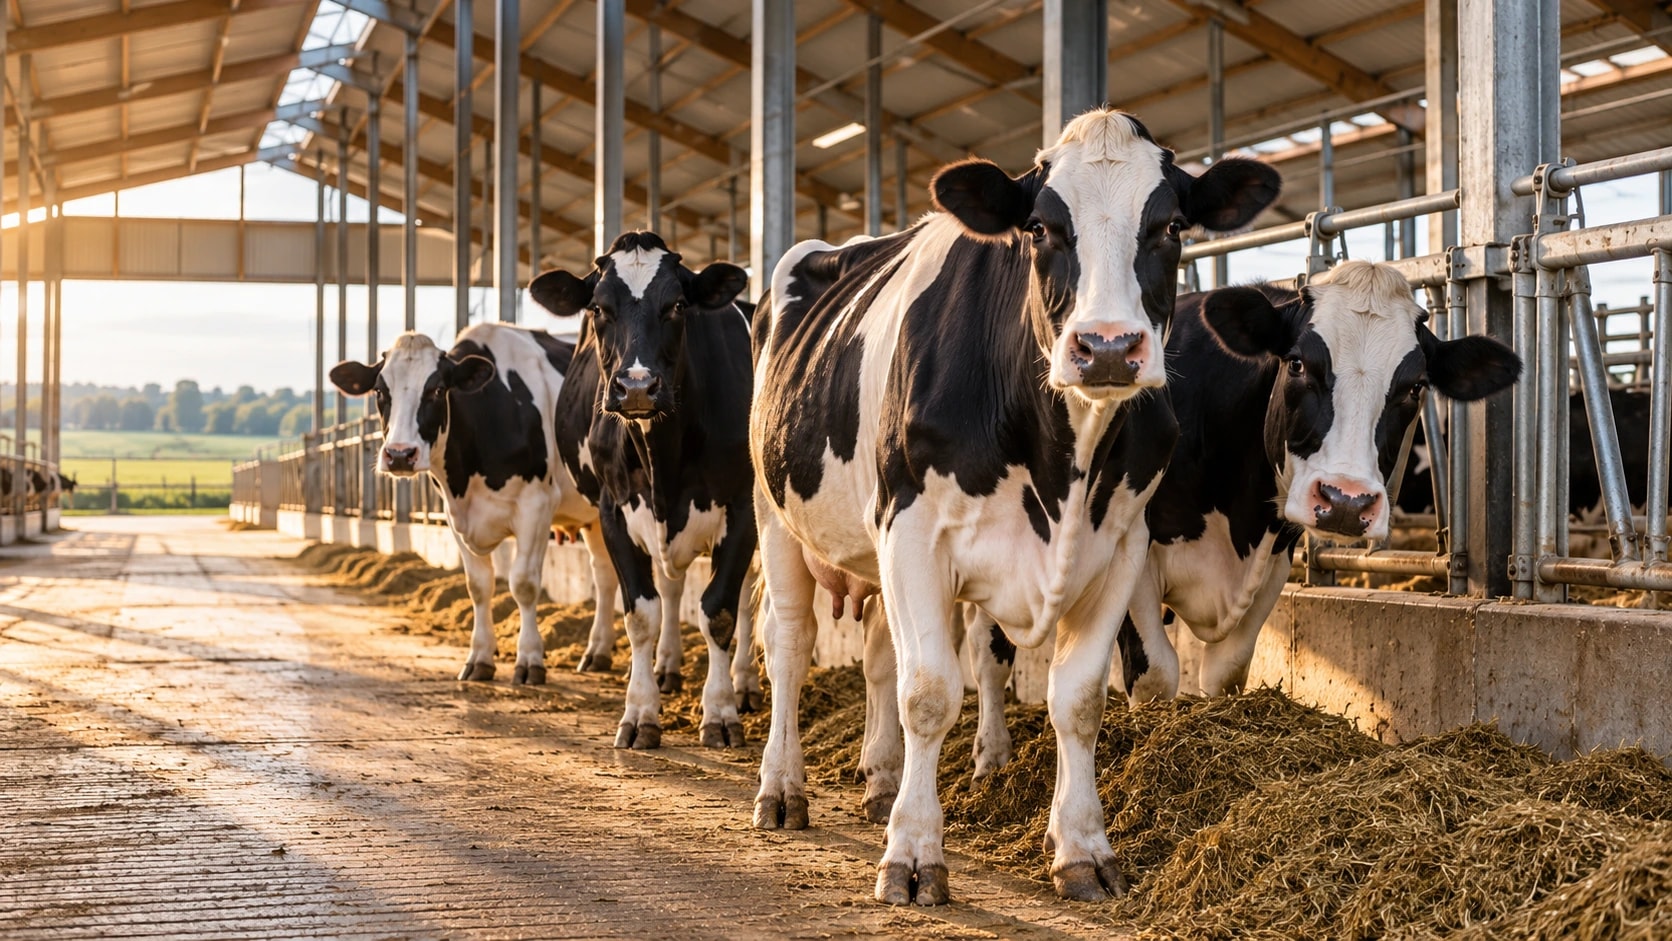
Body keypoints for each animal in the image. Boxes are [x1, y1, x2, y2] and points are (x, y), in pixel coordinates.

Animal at [329, 323, 620, 687]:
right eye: (380, 391)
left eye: (438, 389)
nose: (399, 455)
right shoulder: (455, 514)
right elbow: (478, 585)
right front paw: (479, 658)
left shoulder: (536, 505)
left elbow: (523, 583)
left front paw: (530, 660)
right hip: (594, 515)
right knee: (604, 574)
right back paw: (597, 653)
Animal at [528, 231, 762, 751]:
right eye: (598, 307)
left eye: (677, 305)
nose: (636, 386)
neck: (664, 459)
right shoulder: (614, 510)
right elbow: (641, 612)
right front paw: (640, 713)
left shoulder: (743, 509)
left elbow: (719, 610)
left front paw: (720, 713)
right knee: (670, 588)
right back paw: (667, 667)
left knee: (746, 599)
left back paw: (744, 685)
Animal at [749, 108, 1281, 905]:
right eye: (1039, 227)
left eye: (1169, 225)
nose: (1107, 348)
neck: (1062, 454)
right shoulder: (911, 531)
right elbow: (930, 691)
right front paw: (913, 856)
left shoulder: (1120, 545)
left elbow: (1078, 699)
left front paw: (1082, 849)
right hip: (774, 512)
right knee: (790, 645)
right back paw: (782, 789)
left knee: (876, 655)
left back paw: (880, 784)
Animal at [1109, 261, 1521, 702]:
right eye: (1297, 364)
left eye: (1415, 387)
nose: (1347, 502)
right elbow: (1155, 674)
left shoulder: (1273, 564)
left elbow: (1226, 672)